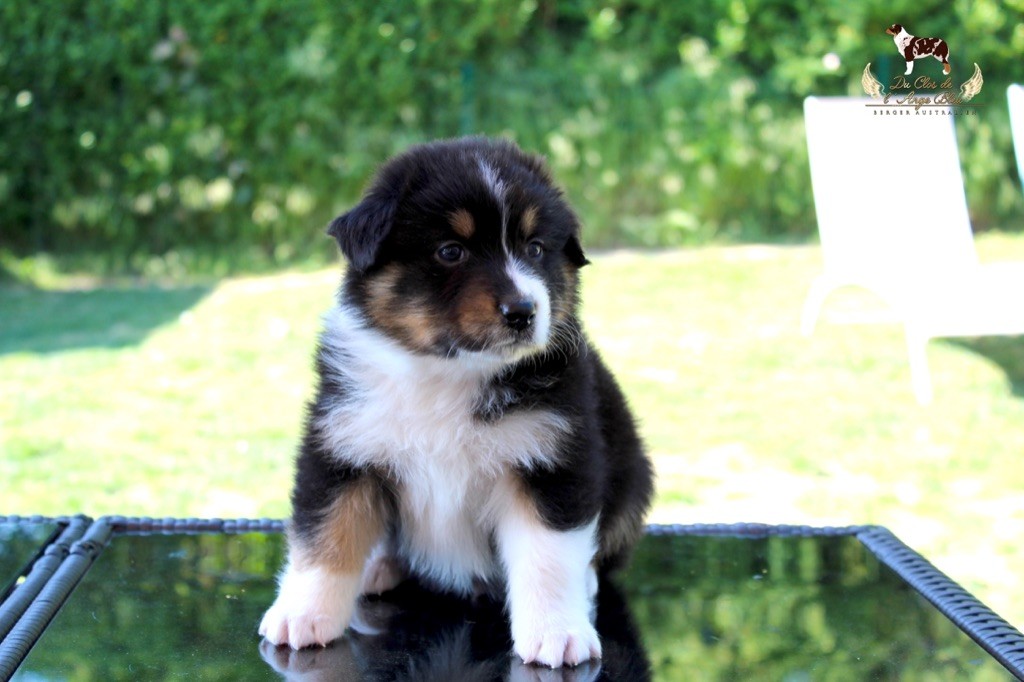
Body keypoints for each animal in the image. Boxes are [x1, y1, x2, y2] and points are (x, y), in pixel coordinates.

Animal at [259, 137, 654, 669]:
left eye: (535, 248)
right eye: (451, 251)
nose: (524, 311)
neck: (447, 372)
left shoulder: (553, 457)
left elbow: (548, 556)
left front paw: (557, 633)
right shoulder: (342, 445)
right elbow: (325, 534)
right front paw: (301, 615)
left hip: (633, 478)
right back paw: (377, 566)